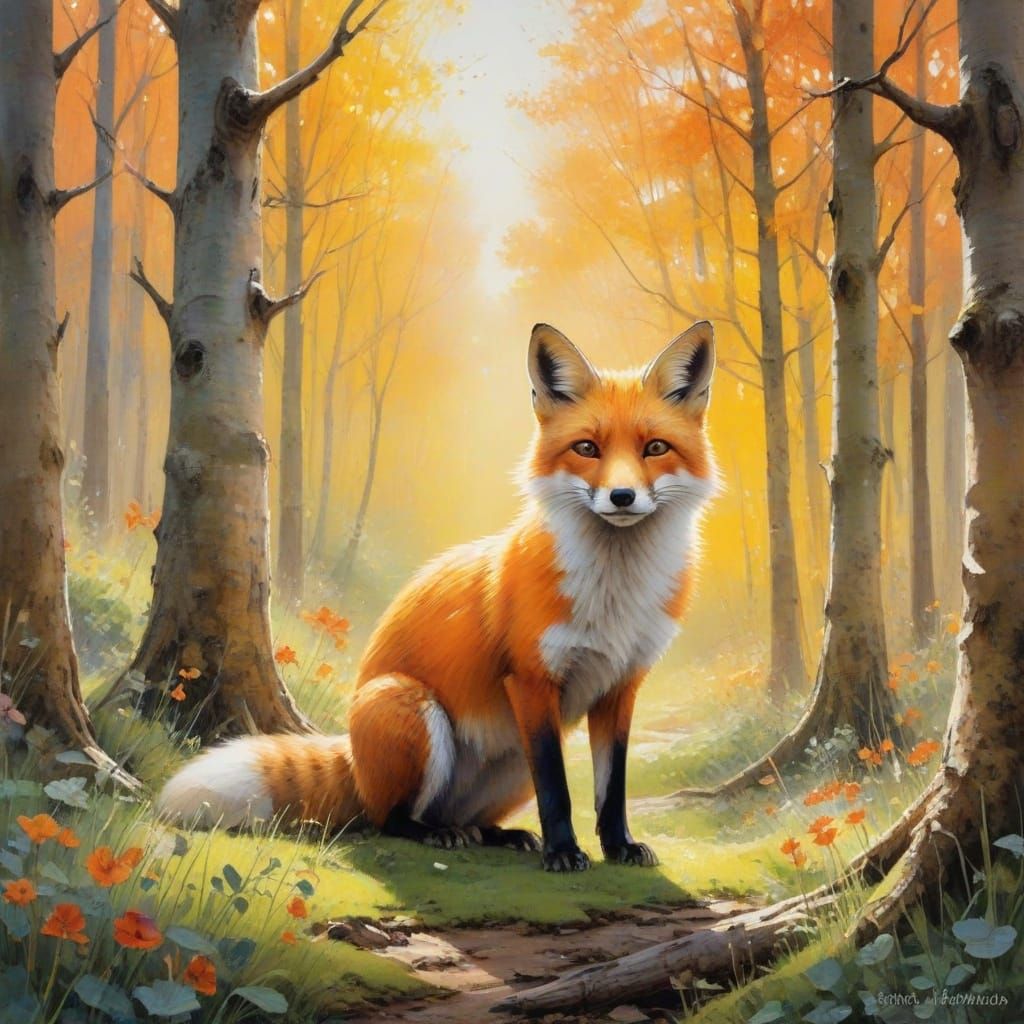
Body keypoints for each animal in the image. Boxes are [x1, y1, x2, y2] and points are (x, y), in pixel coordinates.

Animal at [158, 320, 717, 871]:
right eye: (586, 449)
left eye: (655, 448)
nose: (622, 497)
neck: (615, 594)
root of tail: (354, 760)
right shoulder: (531, 680)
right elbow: (556, 789)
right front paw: (563, 852)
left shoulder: (621, 685)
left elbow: (612, 786)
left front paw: (619, 846)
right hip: (411, 706)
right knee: (387, 817)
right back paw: (433, 833)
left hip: (511, 761)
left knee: (469, 817)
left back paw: (496, 834)